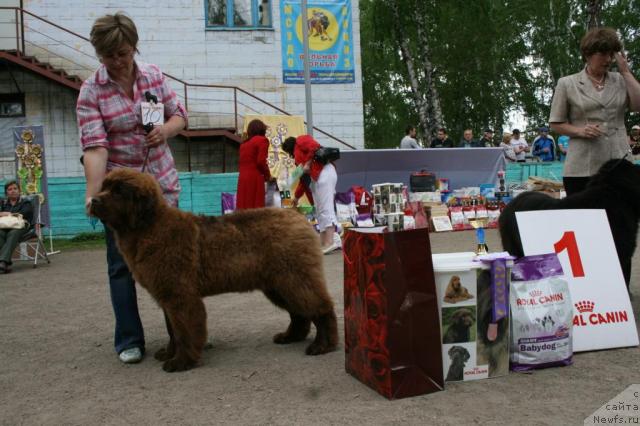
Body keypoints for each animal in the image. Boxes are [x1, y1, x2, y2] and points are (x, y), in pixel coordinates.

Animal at [92, 168, 340, 372]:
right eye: (104, 186)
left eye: (119, 191)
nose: (93, 200)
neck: (149, 227)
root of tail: (298, 217)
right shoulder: (168, 297)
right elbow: (172, 329)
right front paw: (169, 353)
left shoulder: (180, 295)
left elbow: (183, 330)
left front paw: (180, 361)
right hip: (279, 284)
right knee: (299, 313)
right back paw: (290, 337)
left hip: (295, 278)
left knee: (321, 309)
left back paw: (323, 345)